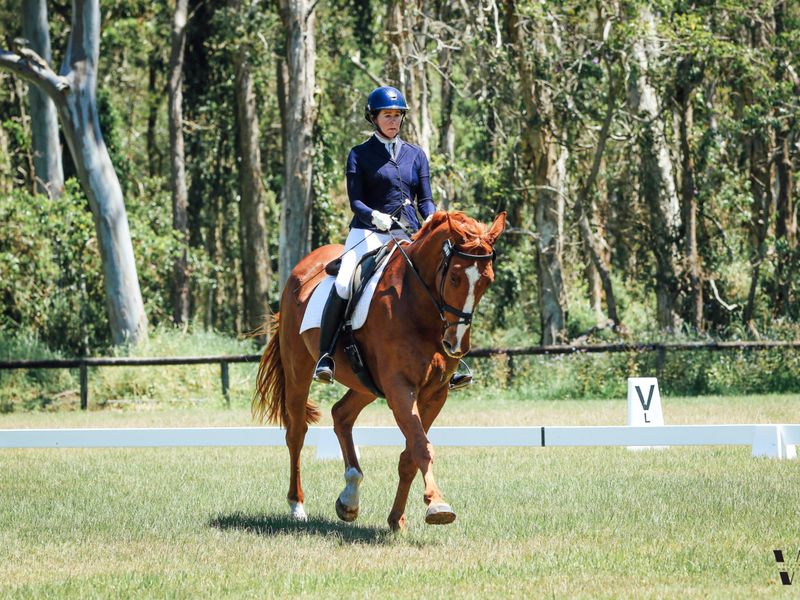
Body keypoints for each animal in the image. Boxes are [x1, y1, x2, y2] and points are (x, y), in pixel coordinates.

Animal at [252, 209, 506, 531]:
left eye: (488, 281)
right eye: (455, 276)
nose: (456, 344)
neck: (418, 305)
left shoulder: (435, 394)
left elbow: (411, 454)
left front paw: (397, 519)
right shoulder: (400, 387)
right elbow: (421, 446)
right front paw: (438, 506)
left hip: (365, 383)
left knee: (341, 414)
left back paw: (349, 498)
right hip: (299, 370)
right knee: (296, 432)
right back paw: (297, 506)